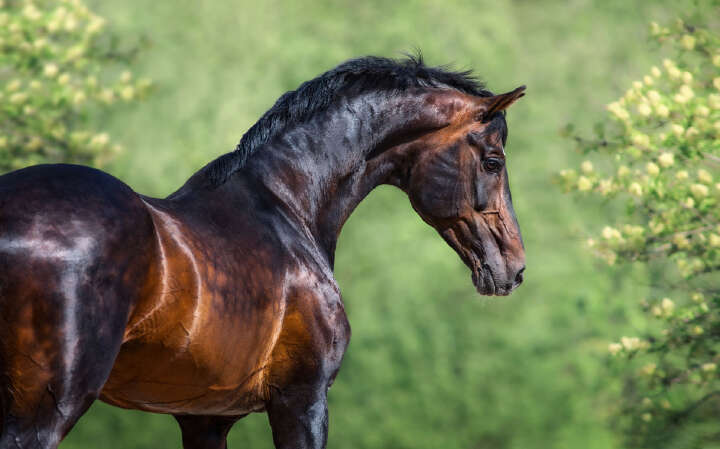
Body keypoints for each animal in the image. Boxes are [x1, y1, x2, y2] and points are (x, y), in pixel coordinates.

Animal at [0, 55, 525, 449]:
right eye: (492, 161)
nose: (514, 268)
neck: (286, 203)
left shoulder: (204, 419)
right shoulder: (302, 401)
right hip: (44, 413)